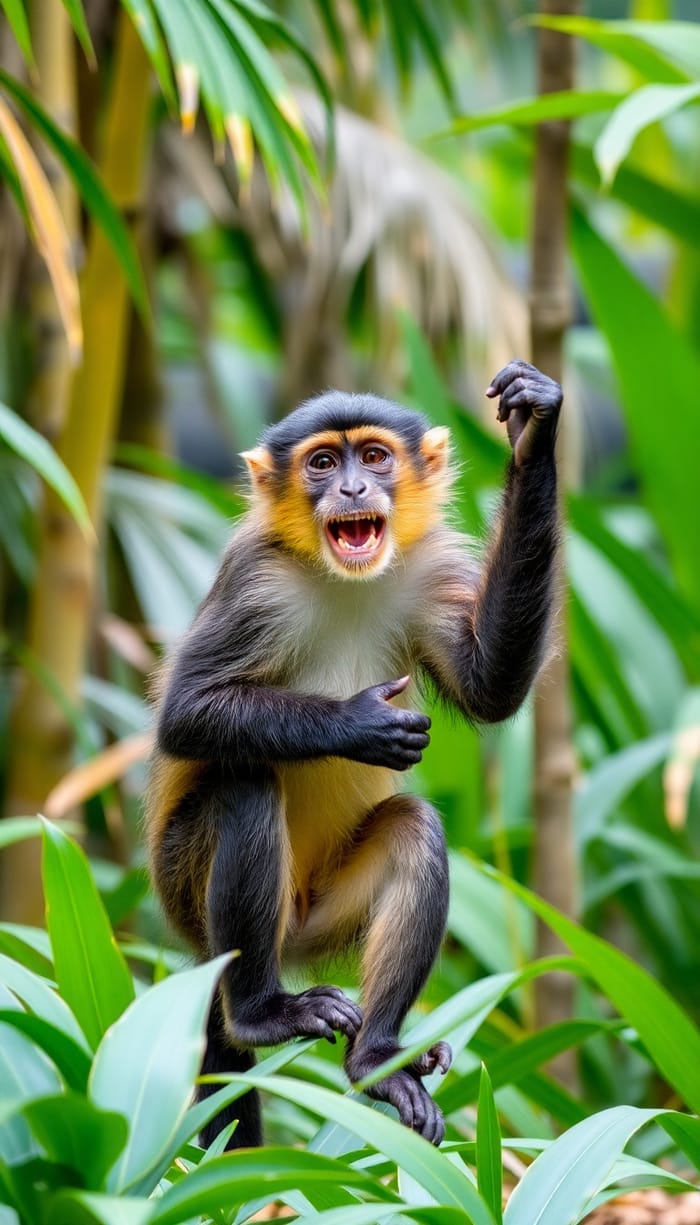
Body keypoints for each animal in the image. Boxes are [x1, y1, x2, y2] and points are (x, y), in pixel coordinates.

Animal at [146, 357, 563, 1146]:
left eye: (372, 457)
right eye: (321, 463)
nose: (351, 491)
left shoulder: (426, 567)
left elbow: (487, 686)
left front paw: (534, 434)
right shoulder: (255, 580)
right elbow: (185, 713)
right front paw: (359, 723)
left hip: (318, 919)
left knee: (413, 829)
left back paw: (377, 1058)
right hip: (194, 895)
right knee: (244, 781)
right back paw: (260, 1014)